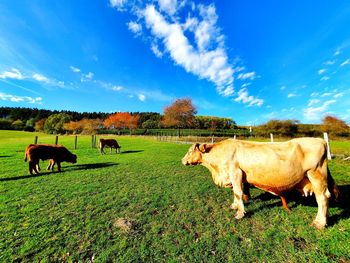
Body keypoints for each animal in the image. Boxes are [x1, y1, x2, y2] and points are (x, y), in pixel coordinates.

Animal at [182, 138, 334, 229]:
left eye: (189, 151)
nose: (182, 161)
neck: (216, 168)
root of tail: (320, 140)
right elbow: (236, 193)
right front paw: (234, 206)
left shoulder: (235, 172)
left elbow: (238, 193)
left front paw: (240, 213)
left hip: (316, 174)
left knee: (322, 198)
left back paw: (319, 223)